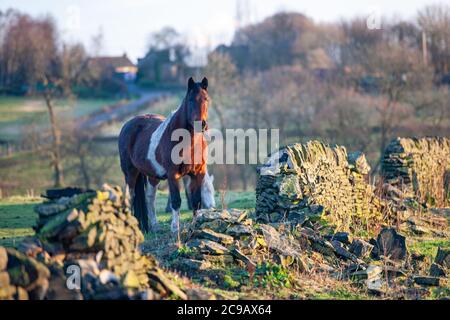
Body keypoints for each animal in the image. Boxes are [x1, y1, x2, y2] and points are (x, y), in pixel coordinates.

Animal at [118, 77, 212, 232]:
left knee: (150, 197)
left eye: (206, 99)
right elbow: (176, 200)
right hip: (130, 173)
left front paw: (195, 225)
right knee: (130, 196)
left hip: (152, 175)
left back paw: (155, 226)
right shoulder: (173, 174)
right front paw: (175, 228)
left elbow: (196, 201)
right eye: (191, 100)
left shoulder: (198, 173)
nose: (202, 124)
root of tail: (127, 125)